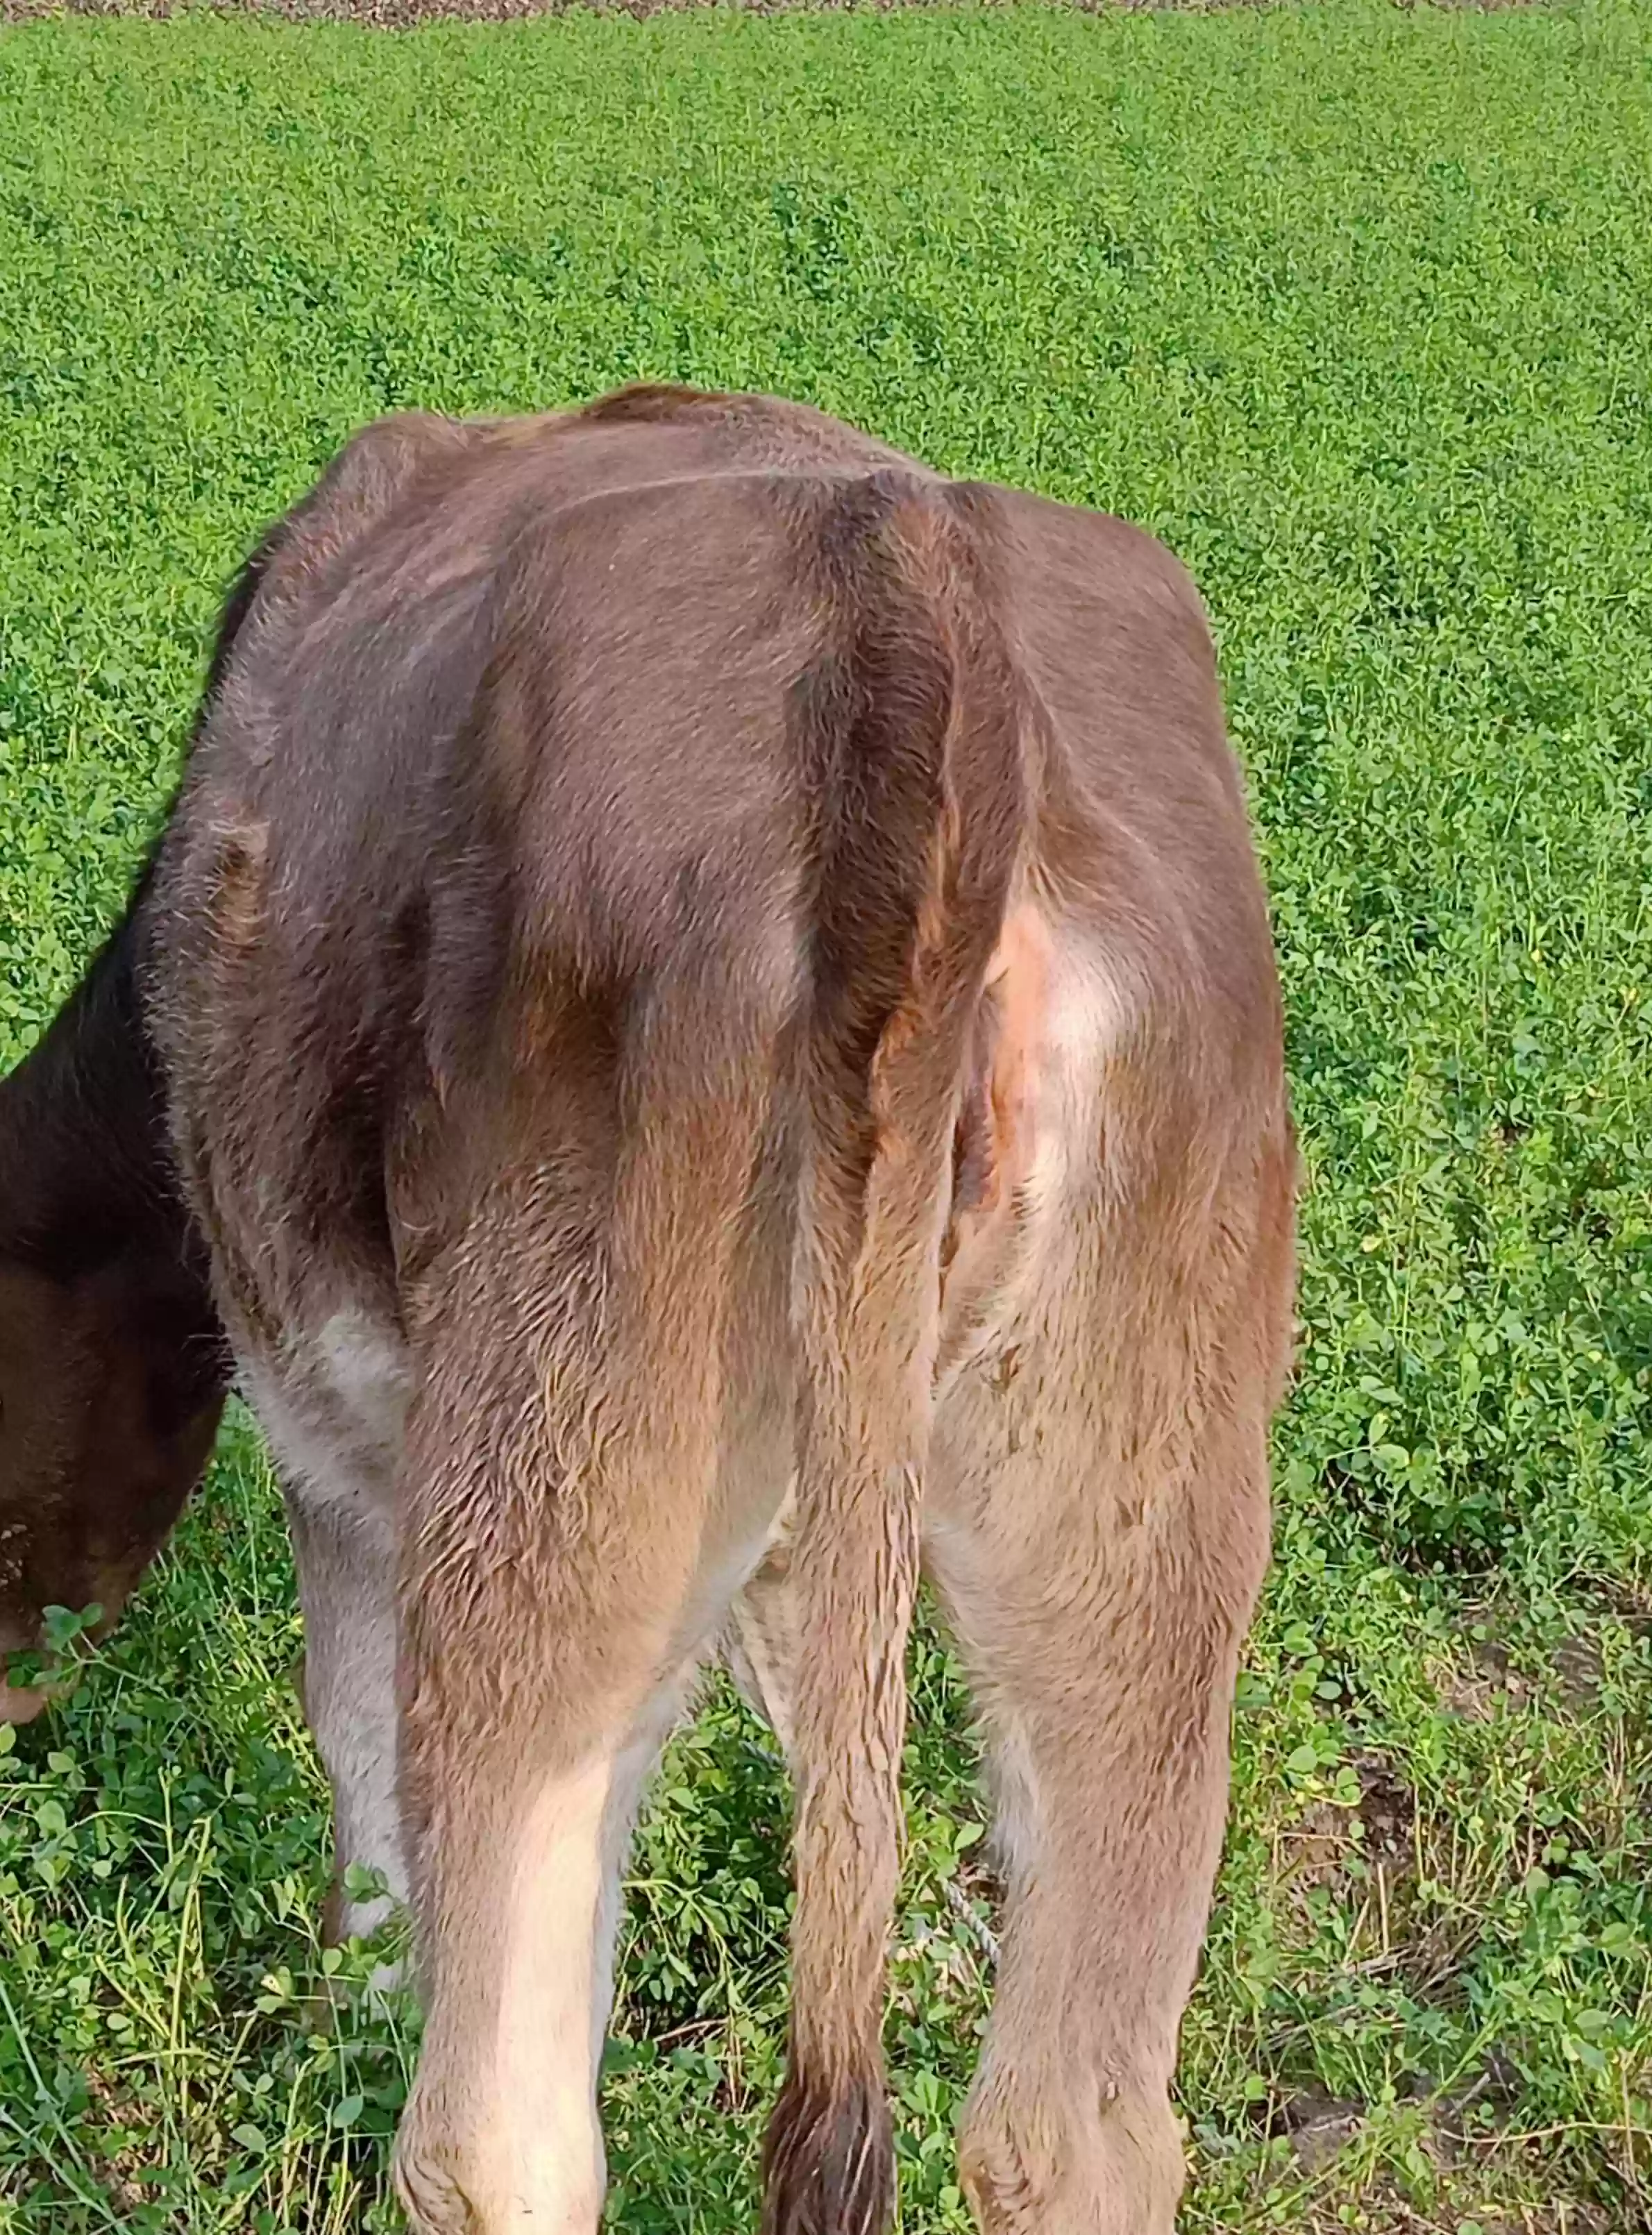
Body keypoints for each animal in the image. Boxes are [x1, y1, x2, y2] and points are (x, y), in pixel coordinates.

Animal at [0, 384, 1296, 2235]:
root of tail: (910, 600)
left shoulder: (335, 1448)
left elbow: (365, 1799)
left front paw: (344, 2024)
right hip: (1136, 1514)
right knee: (1074, 2125)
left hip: (549, 1475)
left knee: (499, 2133)